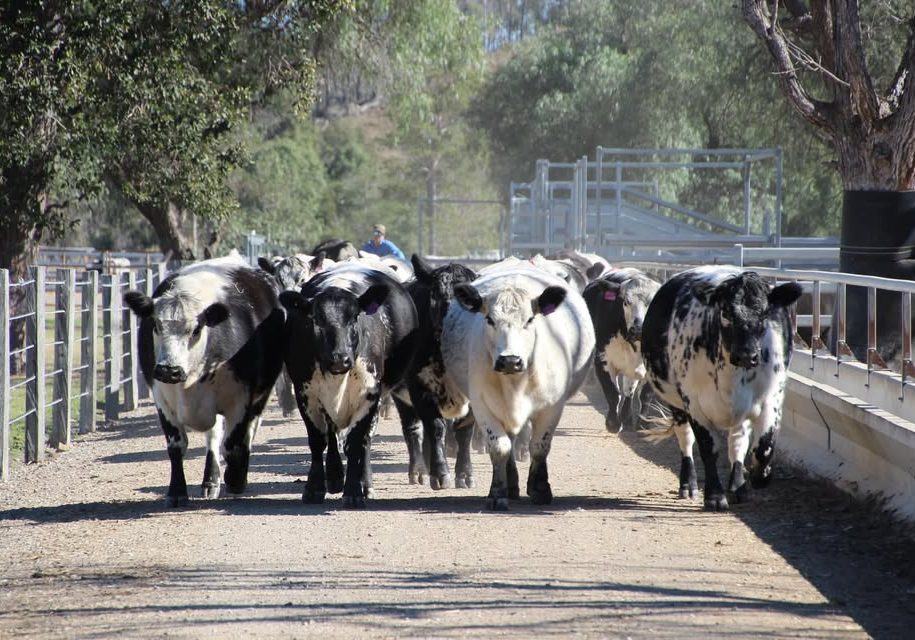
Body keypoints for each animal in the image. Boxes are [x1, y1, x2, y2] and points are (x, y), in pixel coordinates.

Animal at [123, 258, 284, 508]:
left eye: (196, 329)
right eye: (156, 326)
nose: (169, 369)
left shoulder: (240, 399)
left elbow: (234, 444)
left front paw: (235, 480)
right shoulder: (163, 398)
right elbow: (177, 446)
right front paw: (177, 491)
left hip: (260, 394)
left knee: (246, 432)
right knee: (214, 437)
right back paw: (210, 481)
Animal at [280, 262, 420, 508]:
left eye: (354, 317)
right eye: (316, 319)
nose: (339, 358)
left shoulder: (369, 394)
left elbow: (356, 443)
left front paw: (354, 491)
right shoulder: (305, 394)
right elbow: (318, 440)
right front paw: (314, 488)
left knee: (364, 441)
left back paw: (366, 484)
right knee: (332, 435)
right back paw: (335, 477)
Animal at [394, 255, 480, 490]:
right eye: (437, 295)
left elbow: (464, 431)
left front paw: (465, 474)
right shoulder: (420, 388)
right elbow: (435, 427)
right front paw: (440, 474)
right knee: (413, 429)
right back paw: (419, 471)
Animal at [584, 268, 660, 432]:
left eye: (653, 302)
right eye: (626, 301)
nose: (637, 329)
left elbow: (645, 395)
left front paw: (643, 424)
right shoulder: (603, 360)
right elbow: (613, 393)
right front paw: (613, 423)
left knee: (629, 390)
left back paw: (627, 417)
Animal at [644, 264, 800, 510]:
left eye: (764, 313)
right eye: (725, 312)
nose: (747, 355)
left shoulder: (771, 397)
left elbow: (764, 446)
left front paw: (760, 476)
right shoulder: (694, 402)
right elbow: (708, 448)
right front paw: (715, 496)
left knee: (737, 442)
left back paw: (738, 487)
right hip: (675, 402)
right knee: (685, 438)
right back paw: (688, 485)